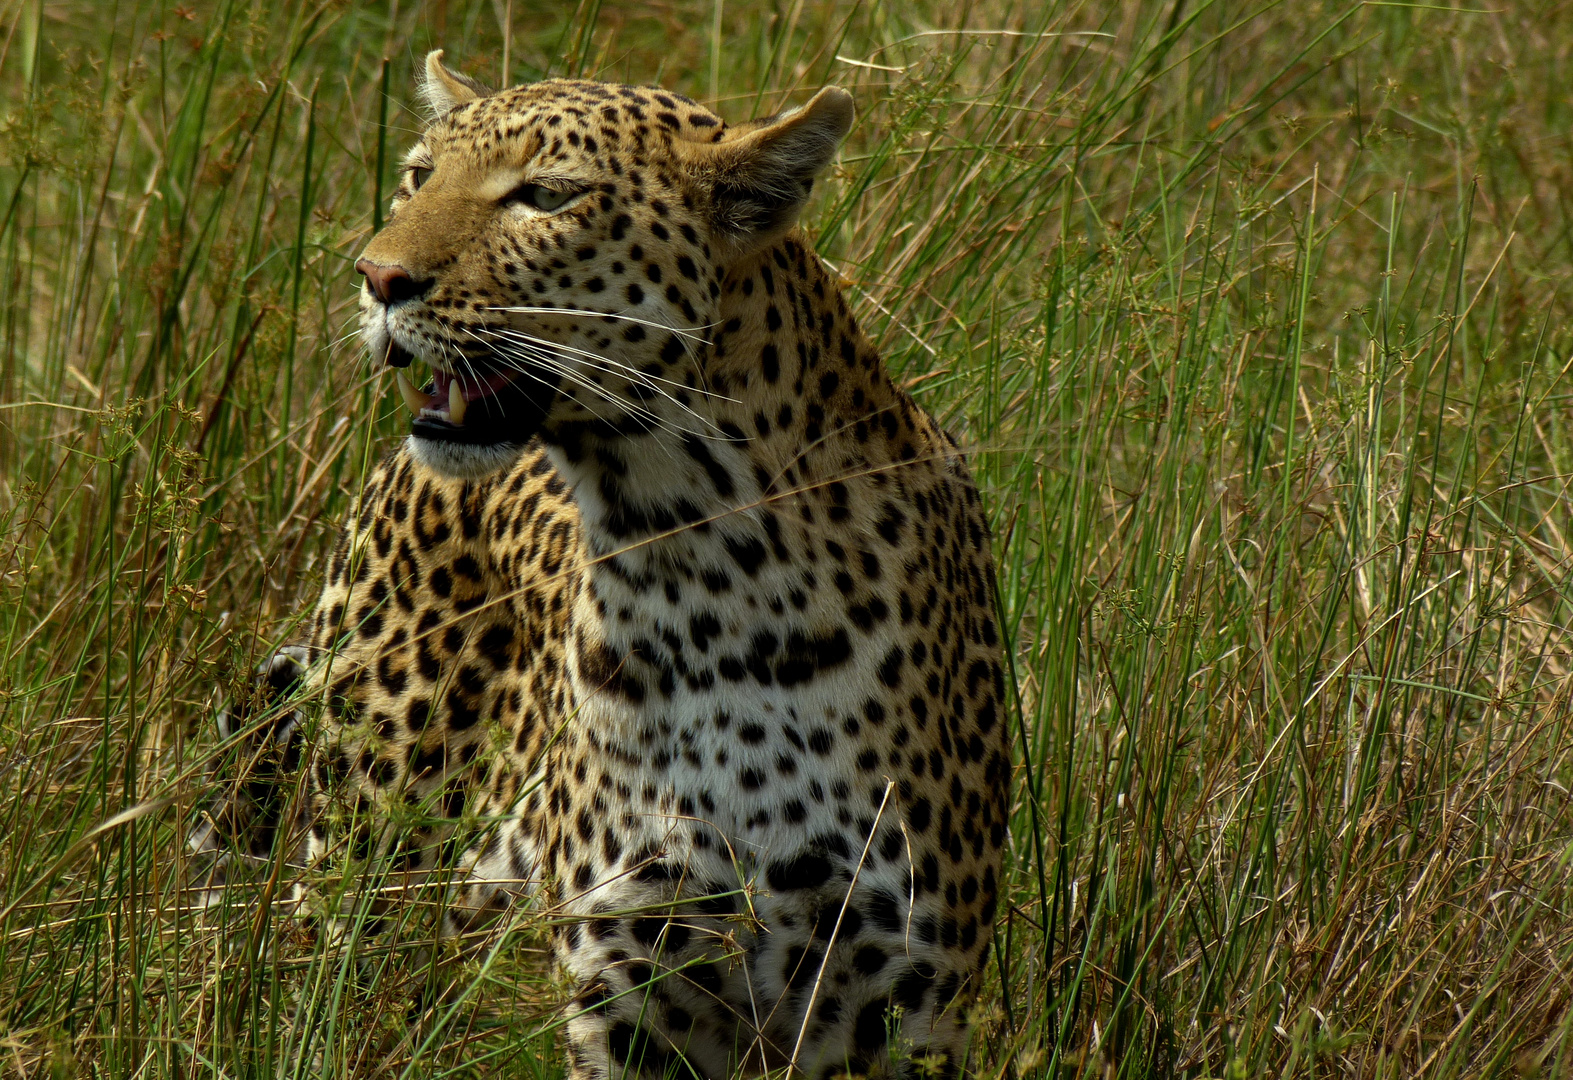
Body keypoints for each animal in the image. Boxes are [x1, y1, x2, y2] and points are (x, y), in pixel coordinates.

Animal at [199, 52, 1006, 1080]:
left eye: (545, 196)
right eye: (419, 175)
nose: (375, 277)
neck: (698, 566)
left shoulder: (901, 1005)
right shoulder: (628, 991)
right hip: (364, 857)